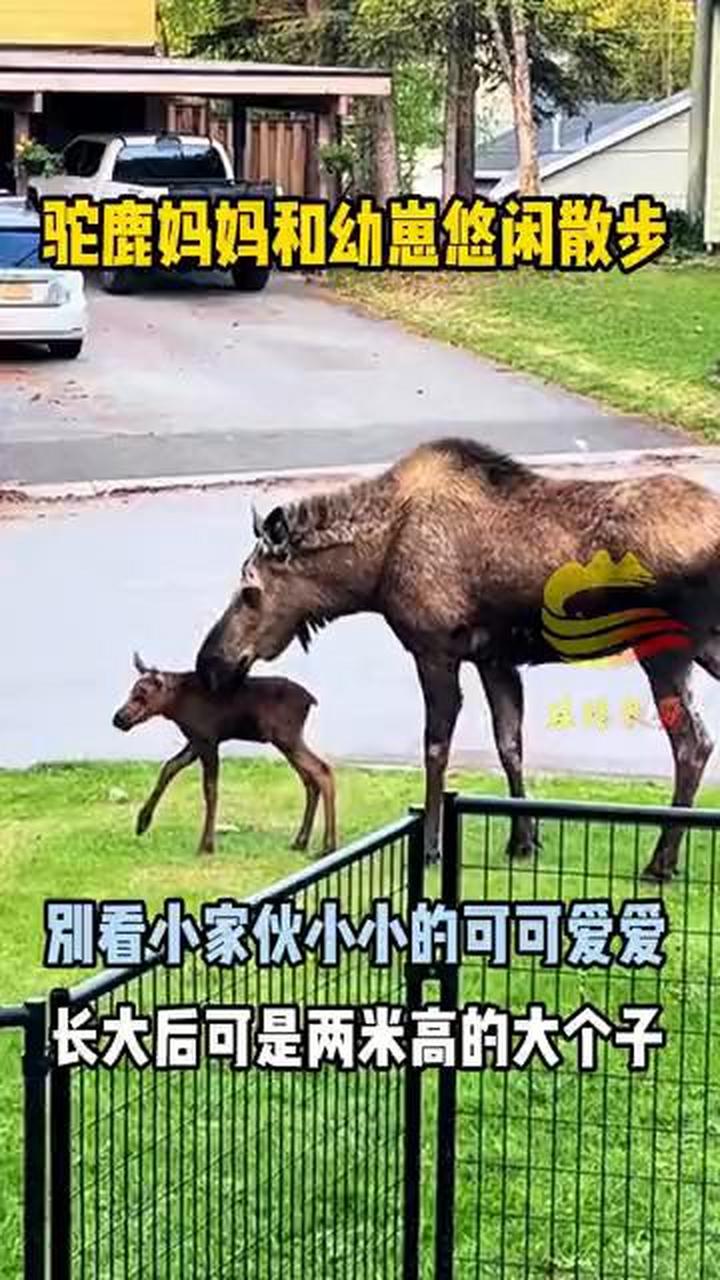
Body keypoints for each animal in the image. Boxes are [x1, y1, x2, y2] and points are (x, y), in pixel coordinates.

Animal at [112, 653, 337, 856]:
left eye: (142, 694)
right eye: (132, 691)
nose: (118, 719)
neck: (175, 707)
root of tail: (311, 700)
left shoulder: (208, 740)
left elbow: (210, 789)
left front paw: (207, 845)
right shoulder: (195, 741)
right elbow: (168, 767)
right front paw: (142, 822)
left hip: (286, 737)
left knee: (321, 770)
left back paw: (327, 846)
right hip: (287, 740)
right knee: (309, 780)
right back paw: (301, 841)